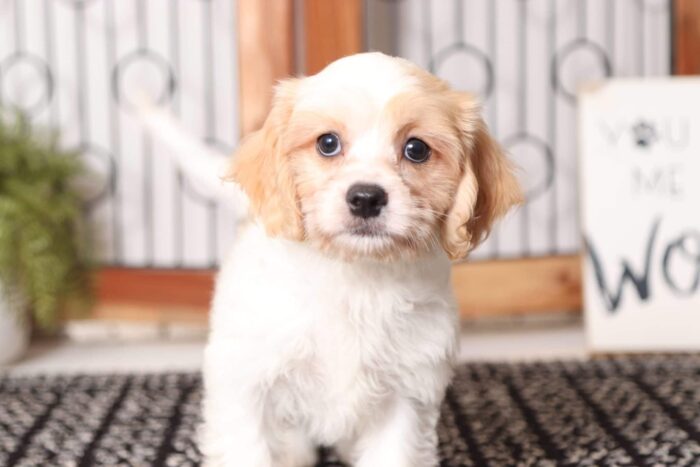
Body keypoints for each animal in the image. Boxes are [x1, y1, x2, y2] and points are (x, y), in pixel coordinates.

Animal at [201, 52, 520, 467]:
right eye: (327, 143)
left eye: (416, 149)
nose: (366, 197)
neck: (354, 275)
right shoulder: (244, 379)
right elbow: (247, 449)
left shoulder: (407, 392)